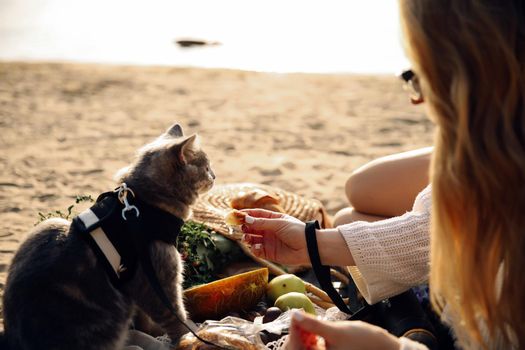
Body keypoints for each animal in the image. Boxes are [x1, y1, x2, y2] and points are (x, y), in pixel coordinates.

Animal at [0, 124, 215, 348]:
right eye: (206, 167)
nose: (214, 176)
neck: (145, 205)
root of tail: (10, 338)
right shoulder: (159, 279)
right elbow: (175, 317)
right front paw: (191, 336)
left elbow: (147, 319)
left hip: (49, 224)